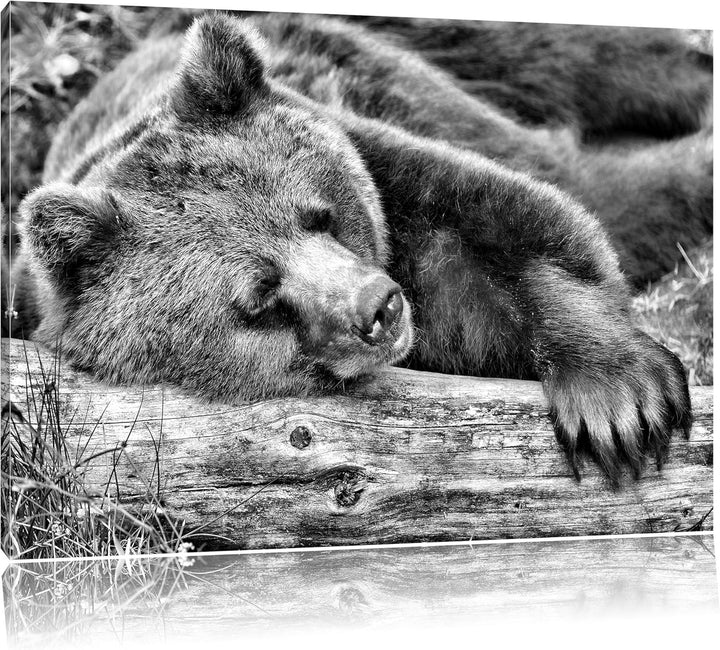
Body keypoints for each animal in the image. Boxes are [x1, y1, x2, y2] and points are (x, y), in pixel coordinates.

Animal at [8, 12, 712, 482]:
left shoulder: (391, 172)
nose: (380, 307)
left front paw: (618, 402)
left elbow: (526, 221)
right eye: (260, 295)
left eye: (319, 215)